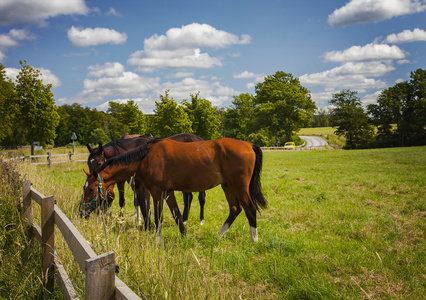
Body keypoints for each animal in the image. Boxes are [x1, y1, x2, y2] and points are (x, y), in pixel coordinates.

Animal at [80, 137, 266, 243]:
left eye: (91, 190)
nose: (82, 212)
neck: (145, 157)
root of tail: (249, 145)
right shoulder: (167, 192)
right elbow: (176, 214)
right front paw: (185, 236)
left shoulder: (156, 192)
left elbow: (157, 216)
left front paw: (157, 240)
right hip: (227, 186)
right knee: (235, 209)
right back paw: (220, 235)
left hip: (239, 186)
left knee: (250, 209)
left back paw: (254, 240)